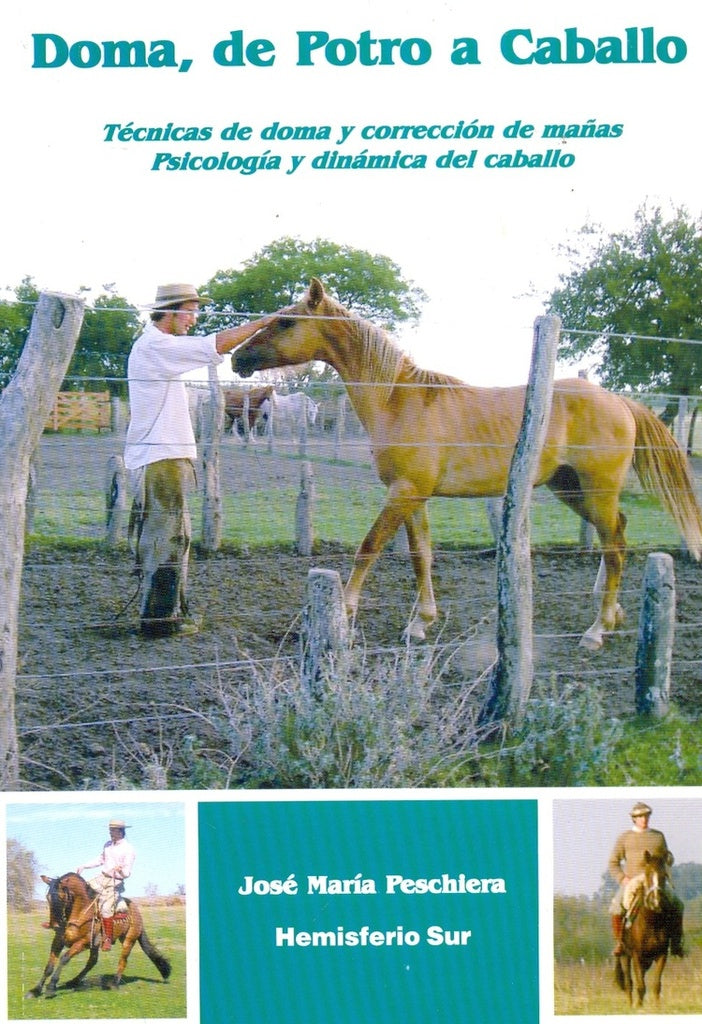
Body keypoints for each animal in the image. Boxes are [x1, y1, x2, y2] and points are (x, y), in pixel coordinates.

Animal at [26, 872, 171, 999]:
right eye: (48, 898)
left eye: (62, 897)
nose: (55, 925)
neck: (80, 913)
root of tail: (135, 910)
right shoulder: (58, 941)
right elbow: (49, 966)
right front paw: (35, 990)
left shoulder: (83, 943)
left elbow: (64, 959)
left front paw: (51, 987)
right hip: (96, 945)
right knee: (92, 961)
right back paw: (74, 981)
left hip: (128, 940)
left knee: (122, 961)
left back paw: (114, 984)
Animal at [233, 277, 702, 648]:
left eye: (286, 322)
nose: (238, 358)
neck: (398, 399)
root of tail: (621, 402)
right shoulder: (413, 497)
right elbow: (421, 556)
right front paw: (420, 623)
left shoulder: (404, 493)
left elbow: (369, 548)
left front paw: (345, 616)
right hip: (571, 489)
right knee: (618, 535)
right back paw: (614, 613)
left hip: (596, 491)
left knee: (616, 547)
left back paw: (597, 629)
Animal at [614, 852, 675, 1008]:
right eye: (648, 874)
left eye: (664, 875)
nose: (656, 901)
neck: (652, 922)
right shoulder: (636, 955)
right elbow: (640, 985)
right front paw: (638, 1007)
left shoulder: (661, 955)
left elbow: (656, 985)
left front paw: (658, 1008)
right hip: (625, 956)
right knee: (629, 983)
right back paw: (630, 1005)